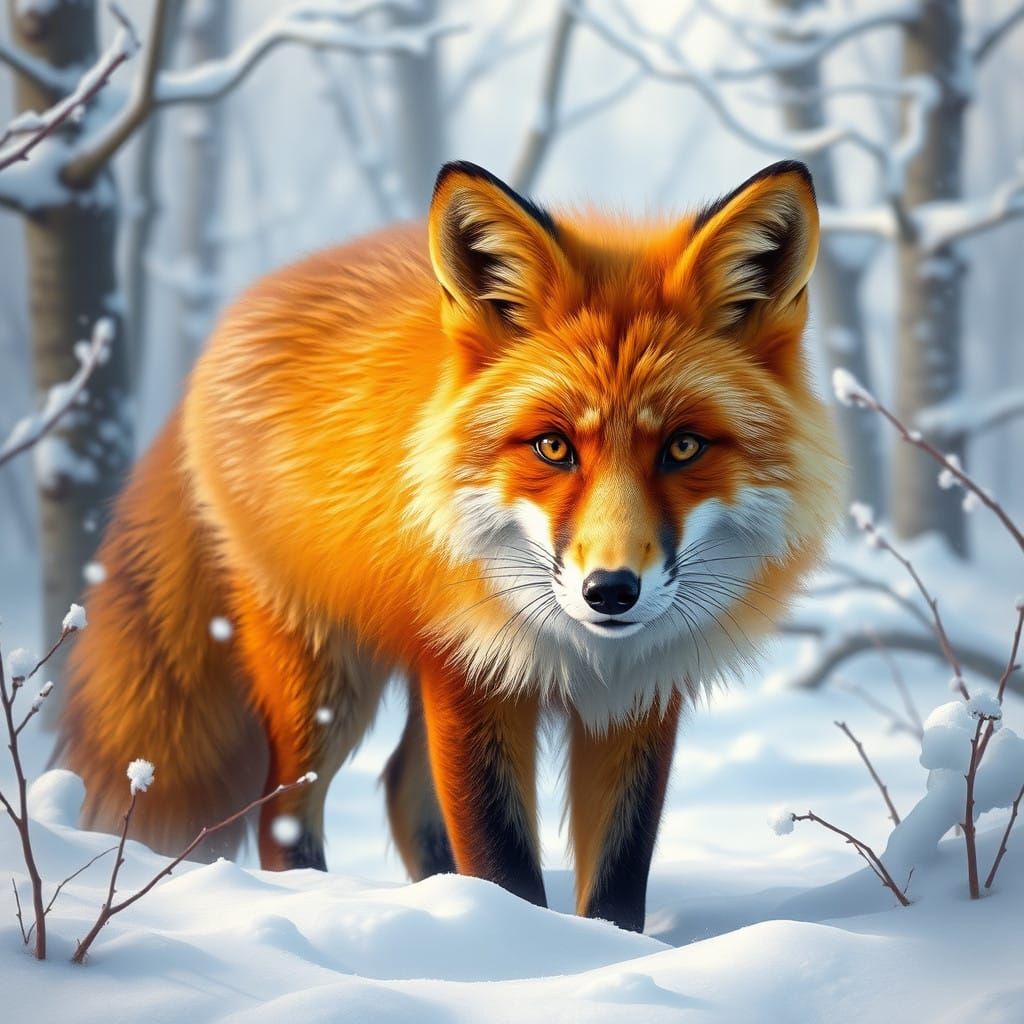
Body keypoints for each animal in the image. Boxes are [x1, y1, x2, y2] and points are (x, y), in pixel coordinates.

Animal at [57, 158, 841, 932]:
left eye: (682, 447)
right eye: (553, 447)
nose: (611, 591)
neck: (581, 651)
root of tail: (240, 311)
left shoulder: (640, 689)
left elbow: (618, 881)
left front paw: (596, 951)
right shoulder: (471, 671)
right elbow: (502, 859)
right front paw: (522, 946)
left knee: (401, 787)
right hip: (324, 673)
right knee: (284, 814)